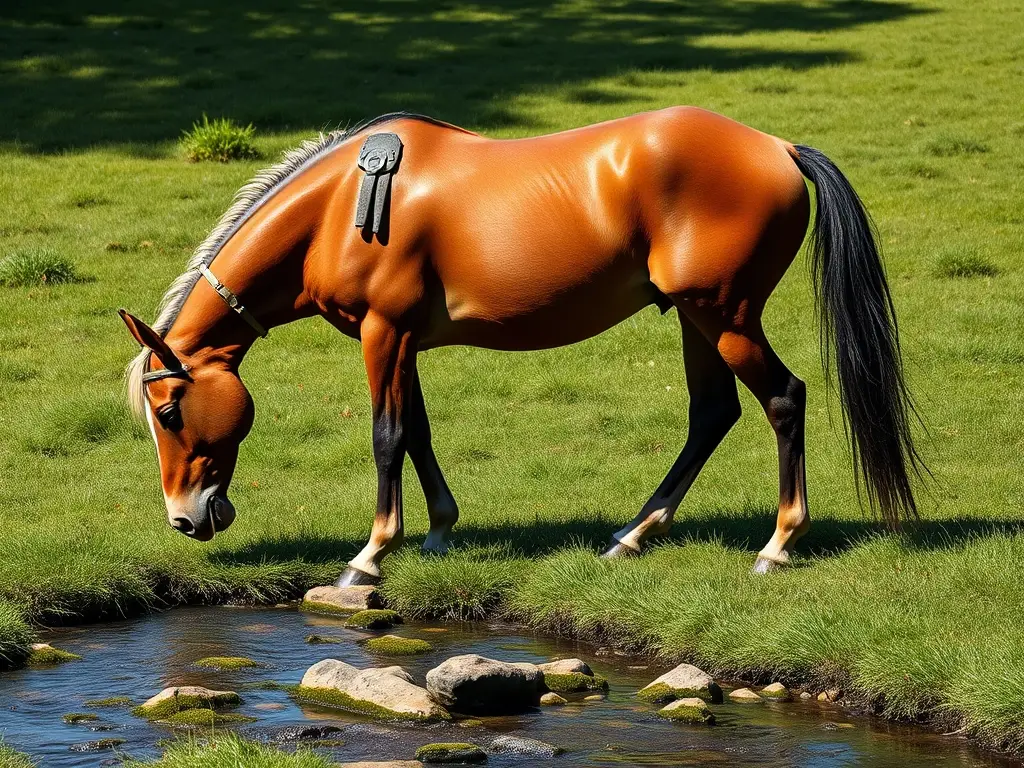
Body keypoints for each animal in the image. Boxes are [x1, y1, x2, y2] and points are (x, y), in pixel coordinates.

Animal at [121, 108, 922, 585]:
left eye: (168, 412)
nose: (185, 517)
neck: (339, 208)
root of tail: (778, 147)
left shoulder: (384, 332)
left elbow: (387, 436)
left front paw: (372, 555)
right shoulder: (407, 340)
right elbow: (419, 431)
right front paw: (440, 531)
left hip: (723, 315)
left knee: (784, 399)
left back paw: (778, 543)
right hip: (698, 320)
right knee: (711, 415)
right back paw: (634, 534)